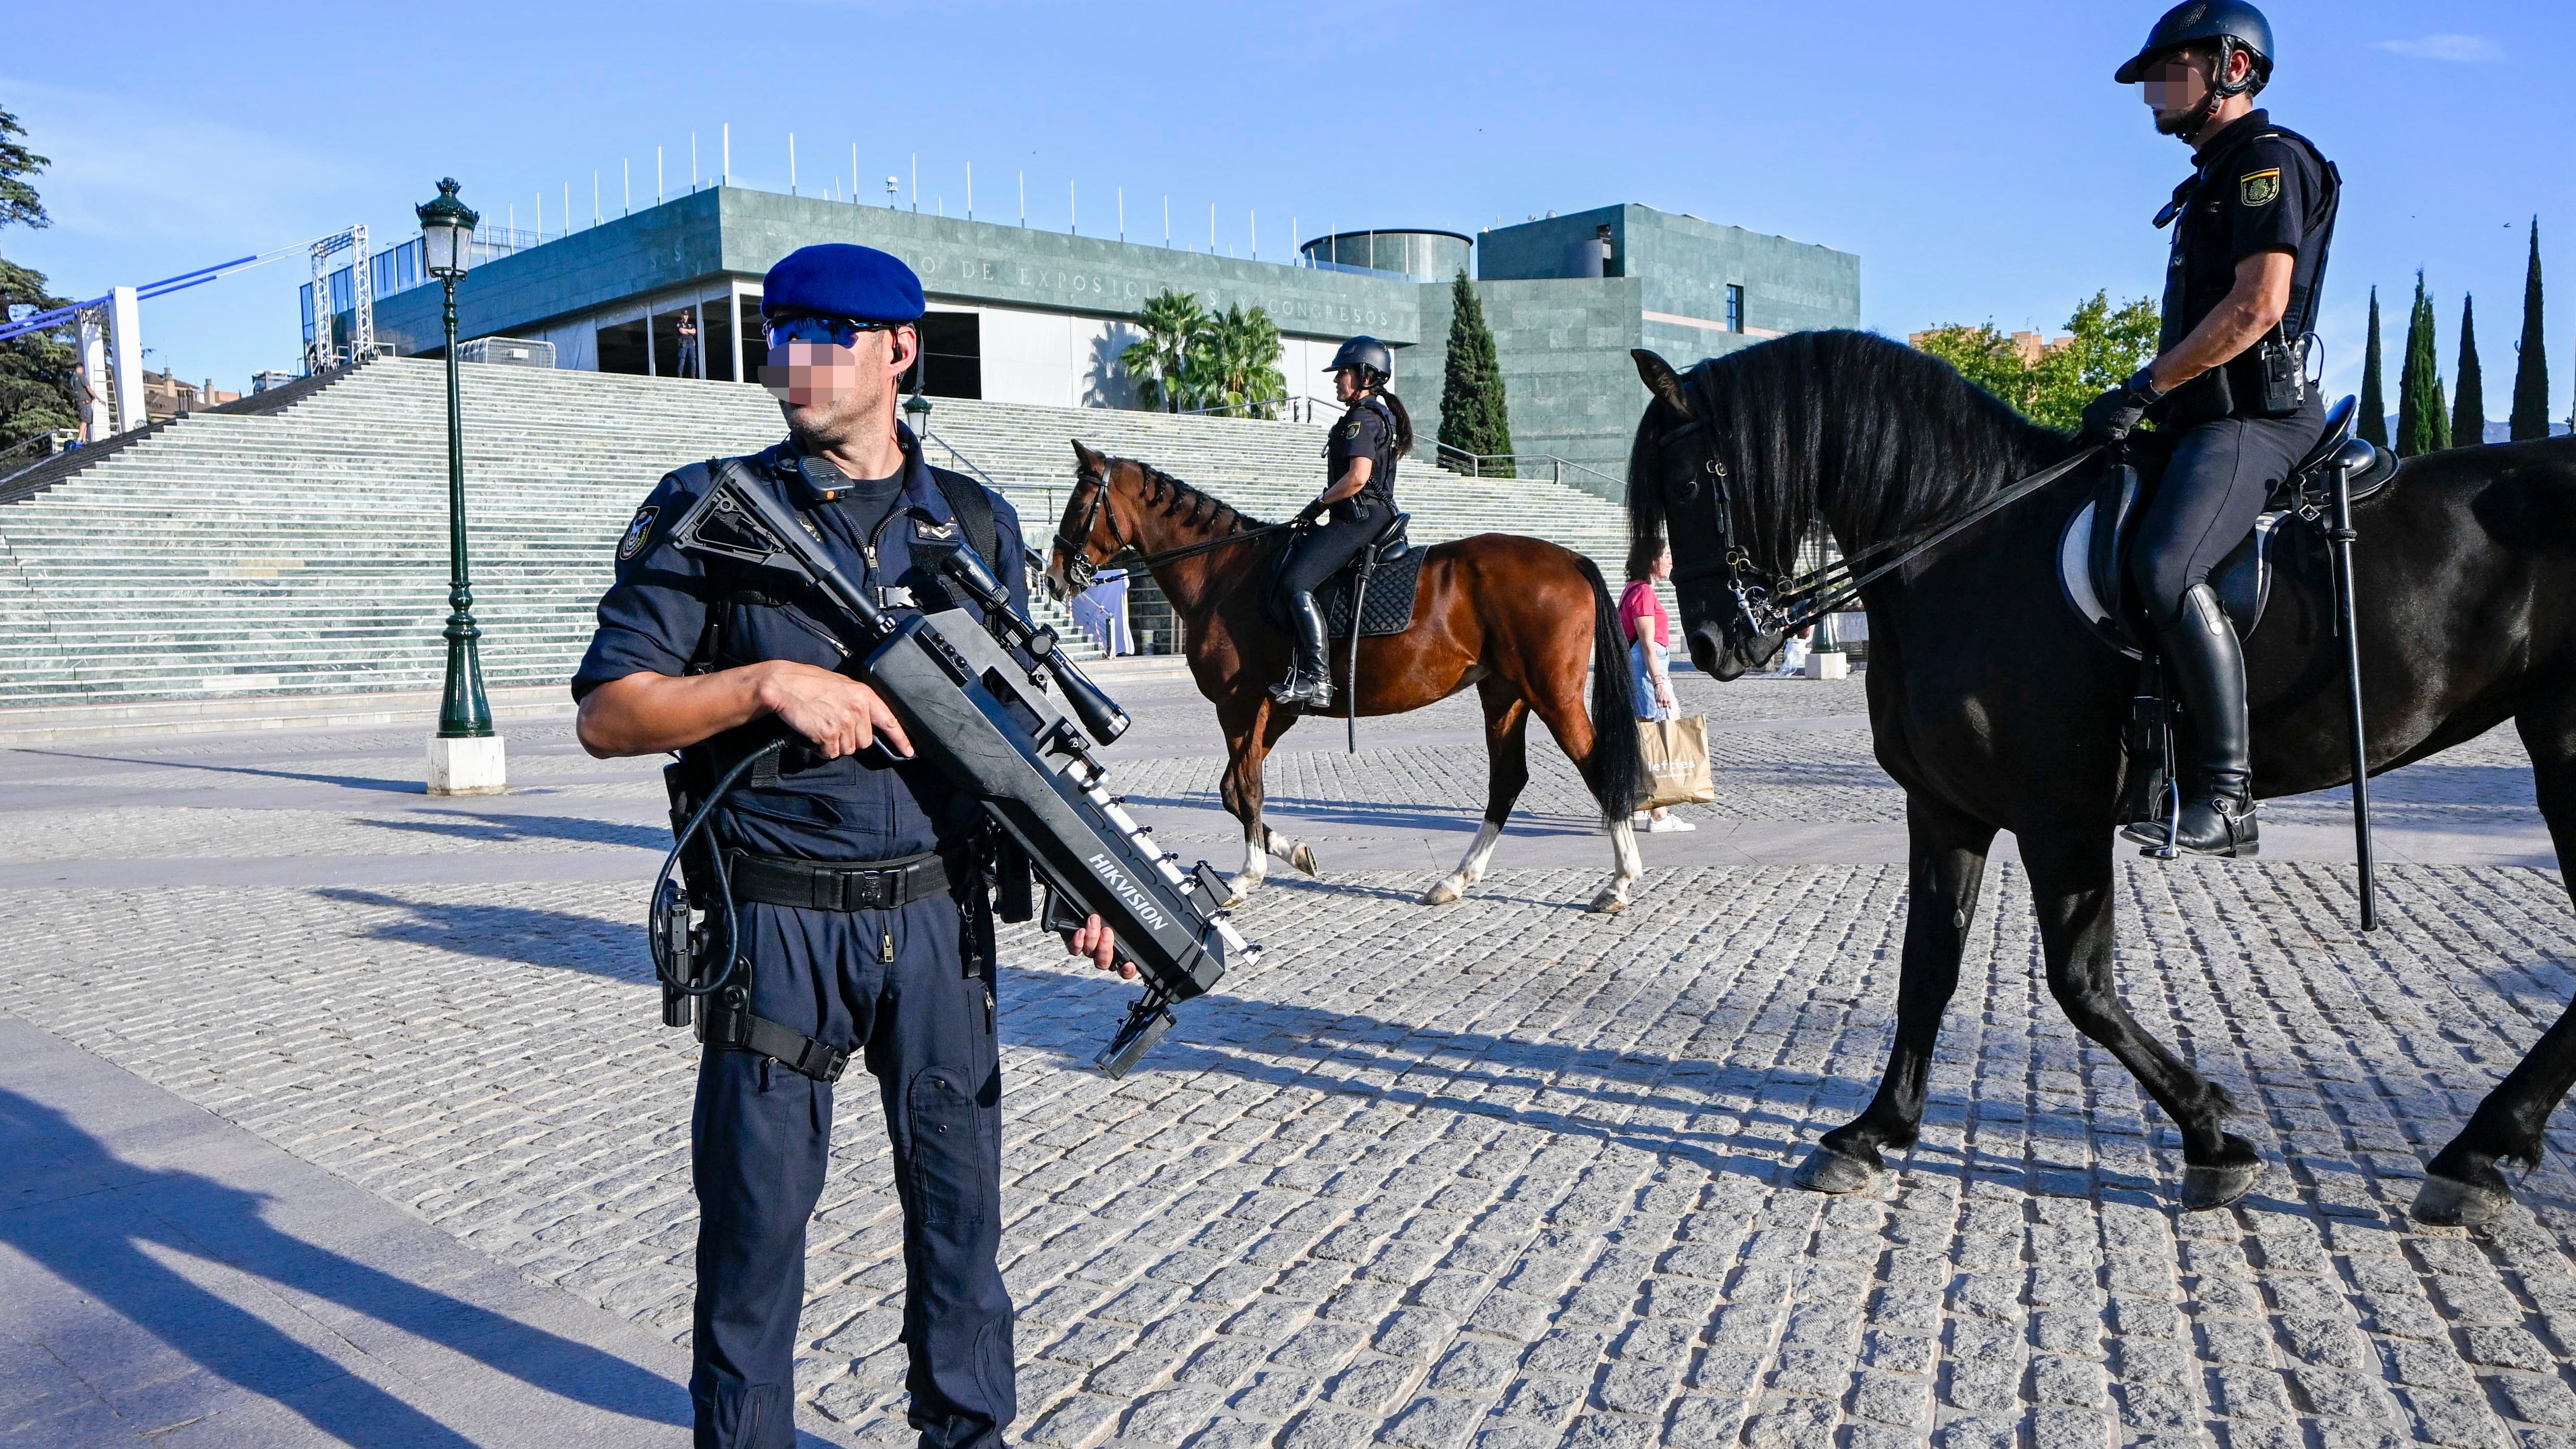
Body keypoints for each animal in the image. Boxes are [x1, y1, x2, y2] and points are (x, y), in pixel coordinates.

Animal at [1046, 445, 1648, 916]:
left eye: (1077, 504)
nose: (1051, 575)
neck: (1225, 573)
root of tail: (1568, 560)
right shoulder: (1273, 710)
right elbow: (1232, 791)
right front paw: (1292, 853)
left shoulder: (1238, 704)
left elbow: (1244, 788)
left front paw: (1248, 873)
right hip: (1504, 695)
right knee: (1507, 780)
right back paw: (1456, 879)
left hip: (1551, 694)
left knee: (1597, 765)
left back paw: (1619, 882)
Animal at [1628, 332, 2576, 1225]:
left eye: (1689, 482)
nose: (1708, 641)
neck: (1966, 547)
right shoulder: (1944, 808)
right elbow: (1926, 968)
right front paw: (1873, 1131)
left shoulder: (2060, 816)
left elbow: (2079, 985)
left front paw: (2211, 1130)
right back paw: (2480, 1151)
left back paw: (2475, 1152)